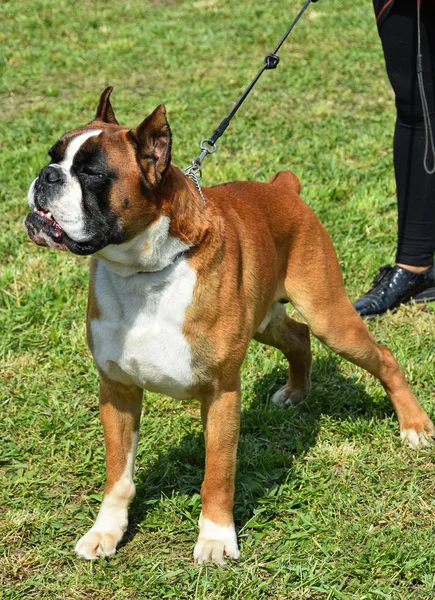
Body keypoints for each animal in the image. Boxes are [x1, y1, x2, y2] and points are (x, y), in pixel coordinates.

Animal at [24, 88, 435, 564]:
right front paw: (106, 531)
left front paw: (216, 538)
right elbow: (118, 475)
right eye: (53, 156)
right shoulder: (117, 391)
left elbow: (217, 474)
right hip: (265, 319)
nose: (46, 176)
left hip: (331, 317)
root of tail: (282, 187)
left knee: (379, 355)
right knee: (298, 337)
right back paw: (296, 391)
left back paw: (414, 425)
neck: (144, 270)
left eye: (91, 173)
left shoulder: (221, 394)